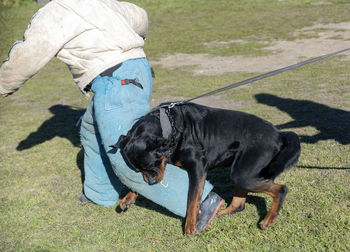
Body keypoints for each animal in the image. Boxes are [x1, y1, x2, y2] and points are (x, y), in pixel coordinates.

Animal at [112, 101, 300, 235]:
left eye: (153, 164)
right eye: (139, 170)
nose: (151, 182)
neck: (170, 127)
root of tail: (279, 134)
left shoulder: (197, 168)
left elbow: (192, 199)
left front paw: (190, 225)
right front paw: (128, 197)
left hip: (244, 173)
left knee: (281, 189)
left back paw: (268, 220)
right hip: (242, 170)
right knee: (239, 203)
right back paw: (221, 213)